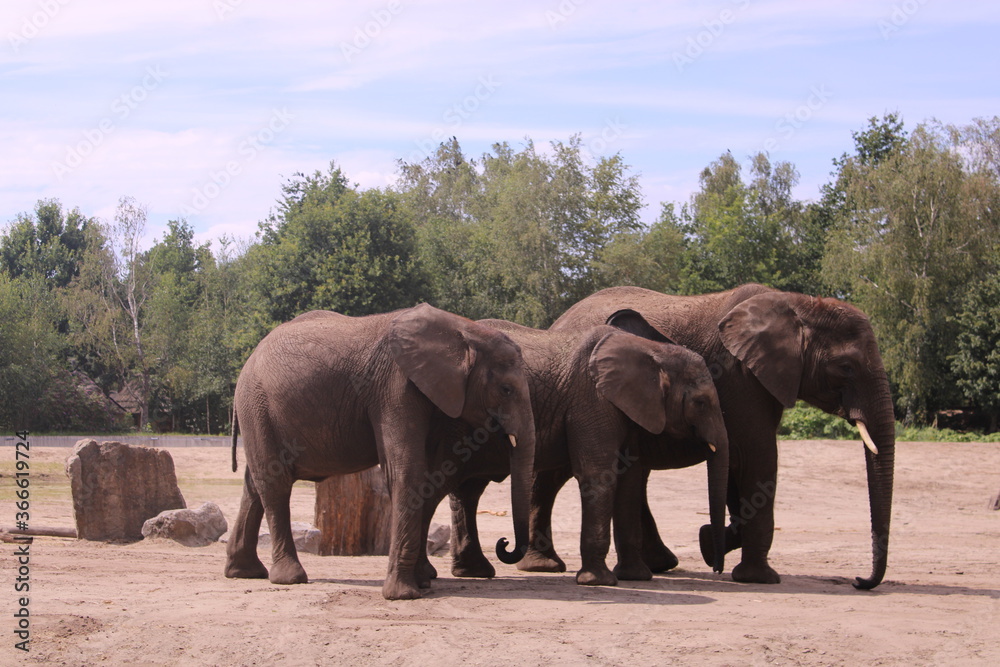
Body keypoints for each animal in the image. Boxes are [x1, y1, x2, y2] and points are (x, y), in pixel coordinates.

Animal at [224, 303, 537, 600]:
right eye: (506, 389)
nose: (504, 543)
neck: (464, 330)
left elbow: (429, 474)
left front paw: (422, 582)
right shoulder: (394, 386)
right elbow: (406, 471)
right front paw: (404, 595)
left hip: (259, 409)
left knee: (255, 484)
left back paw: (244, 572)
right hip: (257, 405)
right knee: (274, 483)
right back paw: (290, 578)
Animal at [447, 319, 730, 586]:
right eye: (700, 403)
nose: (716, 567)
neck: (652, 350)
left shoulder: (627, 410)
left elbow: (629, 480)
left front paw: (635, 577)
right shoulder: (592, 399)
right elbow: (599, 475)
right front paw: (599, 582)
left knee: (469, 490)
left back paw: (477, 572)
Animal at [549, 284, 895, 590]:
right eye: (846, 367)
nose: (859, 581)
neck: (799, 304)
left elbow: (737, 469)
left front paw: (710, 543)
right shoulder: (740, 375)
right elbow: (758, 457)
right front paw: (756, 577)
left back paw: (661, 564)